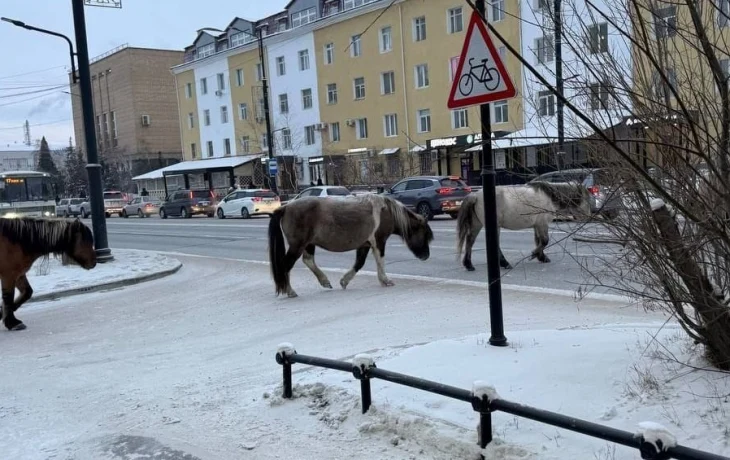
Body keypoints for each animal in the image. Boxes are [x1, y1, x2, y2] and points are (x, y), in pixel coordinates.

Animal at [266, 192, 430, 296]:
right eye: (424, 235)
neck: (386, 210)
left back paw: (324, 281)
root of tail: (285, 207)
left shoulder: (364, 244)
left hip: (308, 244)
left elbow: (359, 263)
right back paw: (290, 291)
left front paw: (344, 281)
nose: (426, 256)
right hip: (297, 245)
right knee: (286, 265)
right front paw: (385, 280)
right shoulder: (379, 241)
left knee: (308, 260)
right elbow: (380, 261)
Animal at [456, 181, 592, 272]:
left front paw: (541, 257)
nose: (590, 216)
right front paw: (534, 254)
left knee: (469, 241)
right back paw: (504, 263)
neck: (548, 196)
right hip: (494, 226)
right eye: (587, 198)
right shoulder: (542, 224)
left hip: (476, 225)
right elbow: (544, 241)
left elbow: (539, 241)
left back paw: (469, 264)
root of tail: (475, 195)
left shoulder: (537, 225)